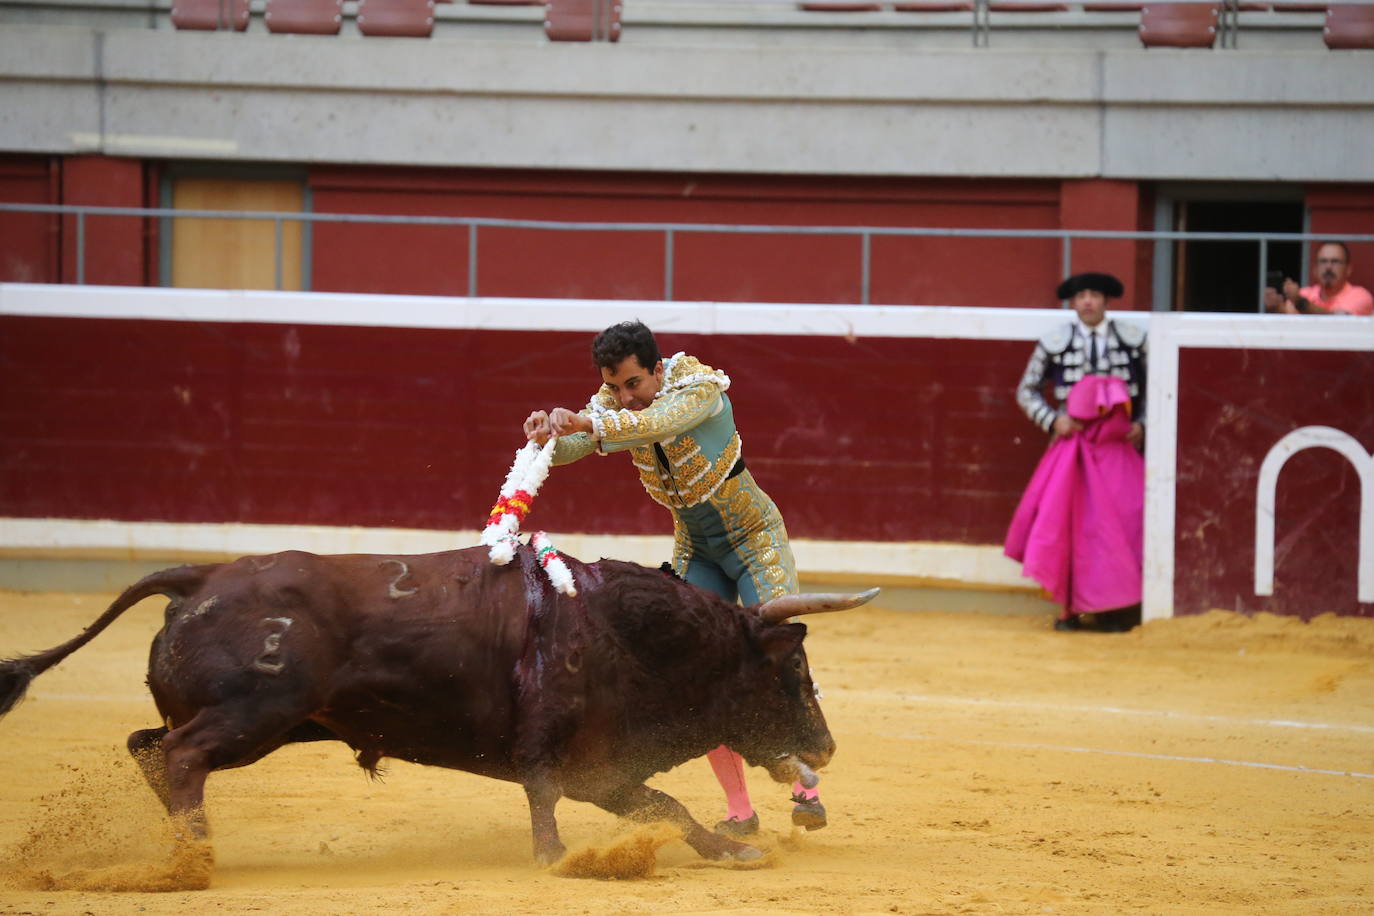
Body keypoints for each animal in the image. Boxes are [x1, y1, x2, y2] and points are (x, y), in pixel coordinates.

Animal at [0, 549, 873, 873]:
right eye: (794, 669)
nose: (827, 749)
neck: (625, 628)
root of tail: (201, 576)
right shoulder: (557, 755)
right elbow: (551, 801)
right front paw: (555, 859)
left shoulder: (603, 768)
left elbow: (668, 806)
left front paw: (733, 850)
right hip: (258, 715)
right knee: (178, 755)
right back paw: (197, 859)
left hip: (258, 725)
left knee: (149, 744)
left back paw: (187, 848)